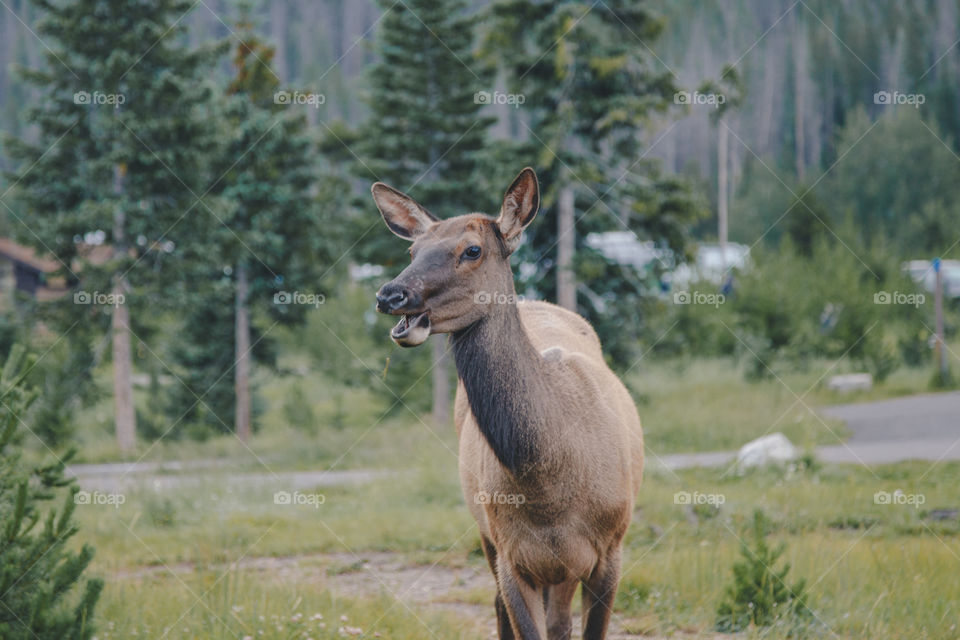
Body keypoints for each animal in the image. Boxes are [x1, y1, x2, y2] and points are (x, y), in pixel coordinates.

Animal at [372, 167, 644, 640]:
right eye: (412, 250)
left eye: (472, 249)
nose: (391, 295)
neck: (548, 484)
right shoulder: (511, 554)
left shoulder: (611, 549)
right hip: (487, 535)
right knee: (503, 606)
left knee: (559, 621)